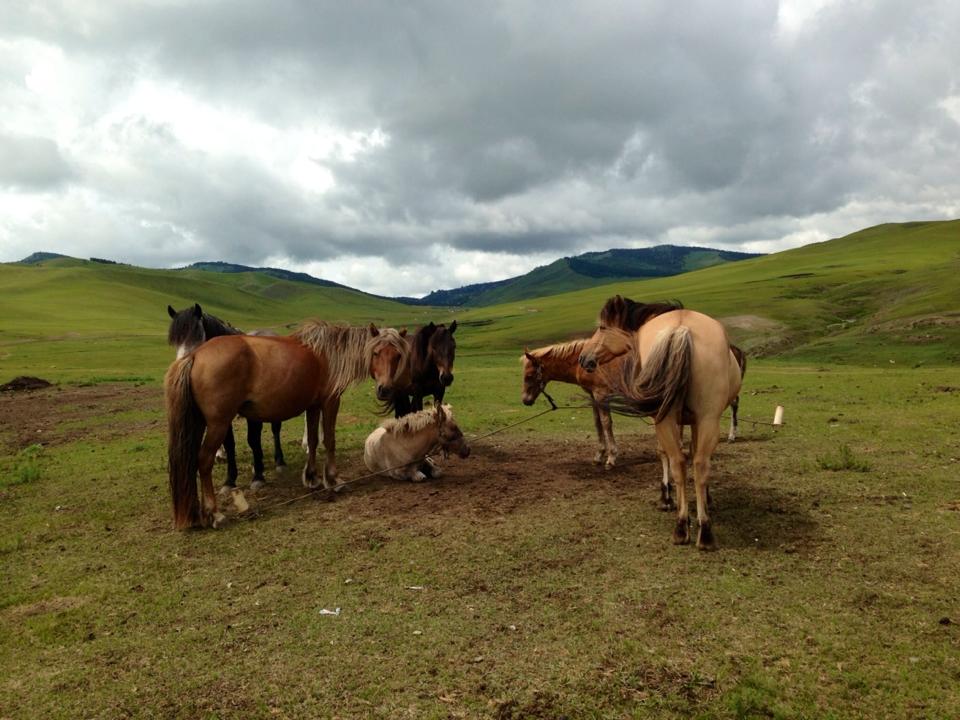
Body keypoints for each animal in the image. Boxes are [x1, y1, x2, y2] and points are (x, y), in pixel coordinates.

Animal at [165, 304, 284, 490]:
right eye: (174, 341)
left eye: (198, 334)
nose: (180, 368)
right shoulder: (221, 413)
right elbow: (229, 443)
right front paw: (230, 479)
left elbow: (253, 439)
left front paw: (258, 476)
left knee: (275, 429)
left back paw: (279, 461)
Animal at [576, 296, 744, 548]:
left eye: (602, 327)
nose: (583, 358)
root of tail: (681, 329)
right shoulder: (687, 419)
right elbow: (688, 452)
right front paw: (697, 499)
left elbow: (663, 452)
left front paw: (666, 496)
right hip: (704, 419)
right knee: (694, 463)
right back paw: (697, 529)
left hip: (674, 419)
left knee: (681, 461)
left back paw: (687, 526)